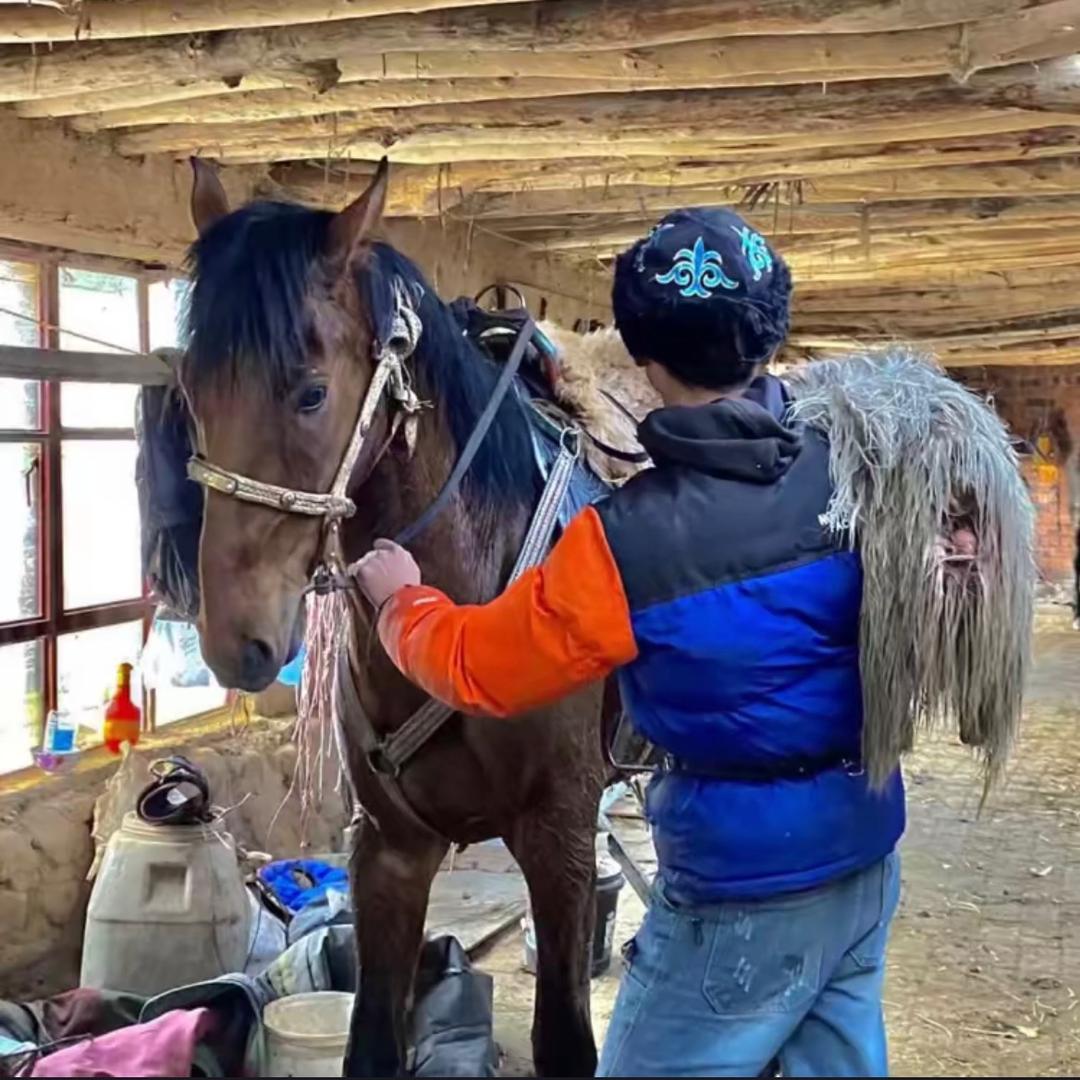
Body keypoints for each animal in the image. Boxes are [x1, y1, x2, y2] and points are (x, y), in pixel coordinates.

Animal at [180, 160, 609, 1077]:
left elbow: (565, 1042)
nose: (236, 642)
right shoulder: (389, 848)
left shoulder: (558, 839)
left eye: (311, 392)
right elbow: (372, 1040)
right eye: (189, 387)